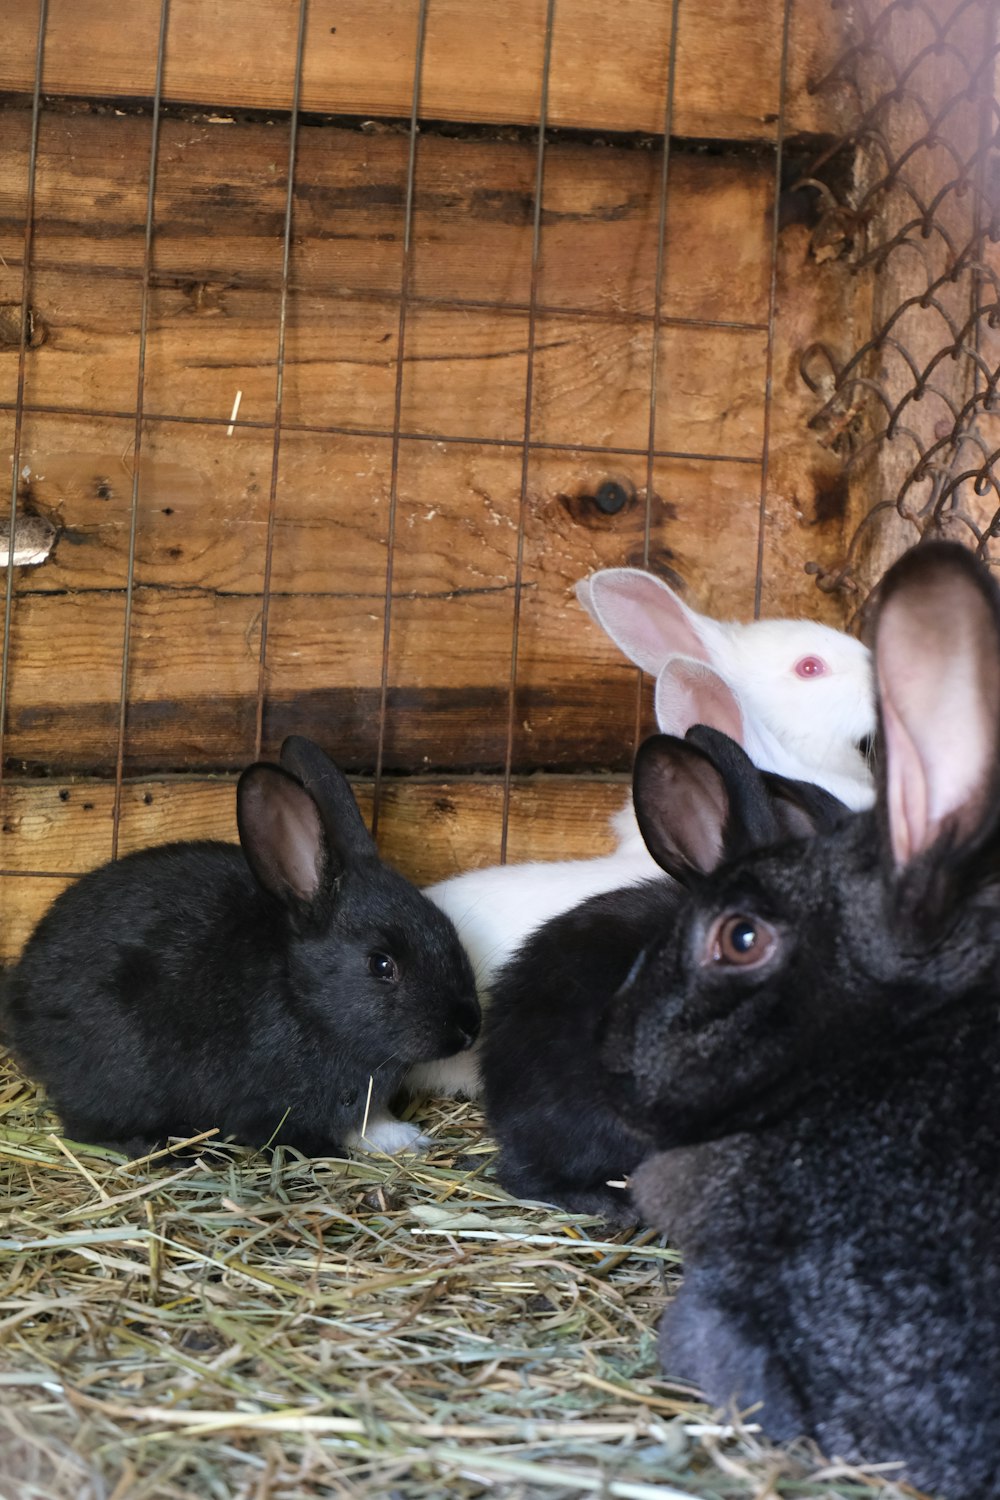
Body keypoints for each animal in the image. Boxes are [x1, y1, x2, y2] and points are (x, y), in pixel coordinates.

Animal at [0, 738, 479, 1158]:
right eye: (381, 964)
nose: (467, 1028)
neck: (302, 999)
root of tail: (20, 1001)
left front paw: (406, 1138)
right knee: (86, 1128)